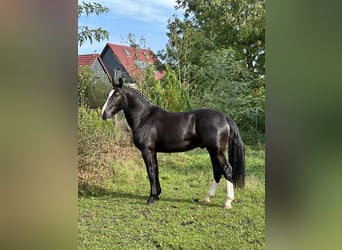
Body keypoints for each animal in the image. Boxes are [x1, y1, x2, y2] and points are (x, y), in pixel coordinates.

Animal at [100, 78, 244, 209]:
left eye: (116, 95)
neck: (144, 118)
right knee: (217, 171)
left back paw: (227, 202)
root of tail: (225, 117)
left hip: (217, 151)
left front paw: (151, 198)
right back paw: (207, 198)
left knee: (227, 170)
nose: (104, 114)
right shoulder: (153, 151)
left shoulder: (147, 151)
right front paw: (157, 195)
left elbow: (151, 172)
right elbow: (156, 171)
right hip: (212, 151)